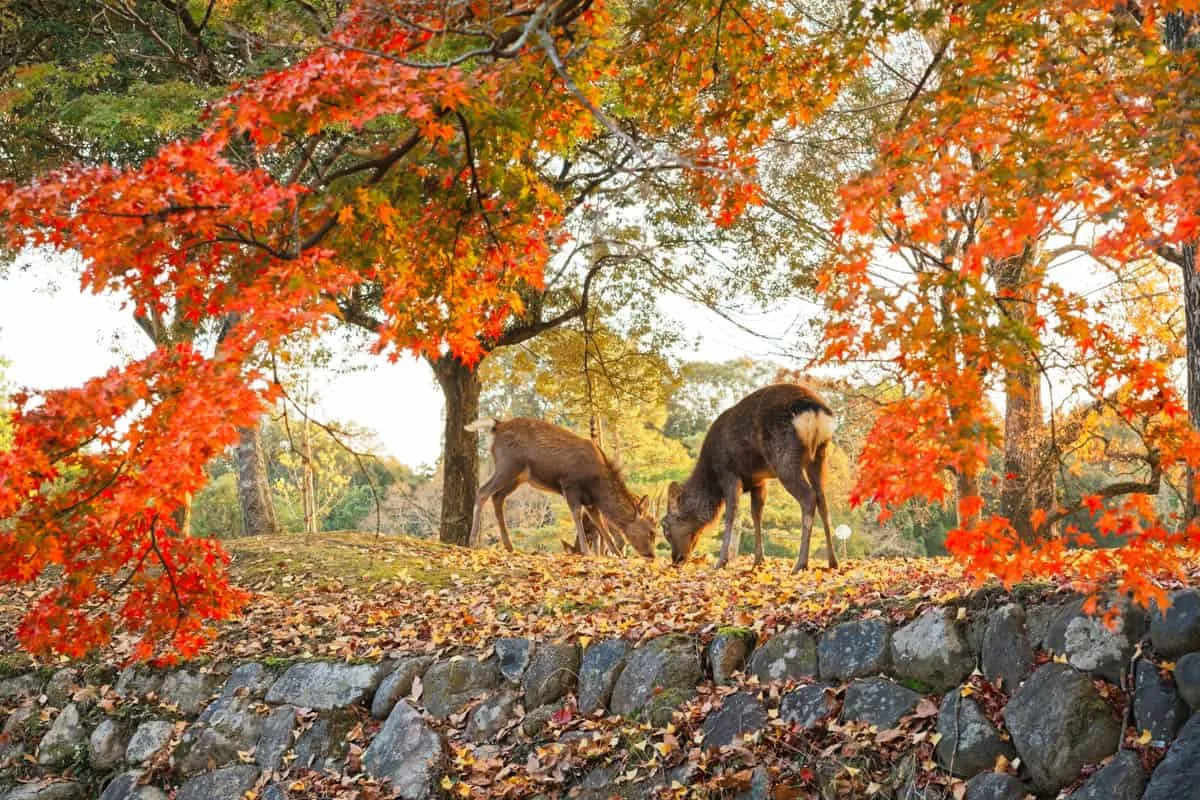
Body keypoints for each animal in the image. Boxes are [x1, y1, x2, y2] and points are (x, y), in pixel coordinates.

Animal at [465, 417, 657, 558]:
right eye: (651, 532)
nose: (651, 555)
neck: (597, 483)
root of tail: (497, 426)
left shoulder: (591, 500)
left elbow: (599, 522)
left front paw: (615, 553)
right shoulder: (570, 484)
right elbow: (577, 515)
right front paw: (587, 552)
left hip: (518, 476)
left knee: (498, 497)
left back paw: (509, 546)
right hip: (508, 464)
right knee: (482, 491)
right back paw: (473, 541)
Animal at [661, 383, 838, 572]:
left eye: (666, 527)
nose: (676, 560)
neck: (711, 474)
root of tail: (815, 411)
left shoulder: (729, 473)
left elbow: (731, 515)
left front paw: (721, 561)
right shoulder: (759, 480)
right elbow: (756, 515)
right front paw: (759, 560)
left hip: (785, 458)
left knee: (809, 497)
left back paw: (801, 564)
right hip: (819, 455)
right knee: (822, 500)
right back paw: (832, 561)